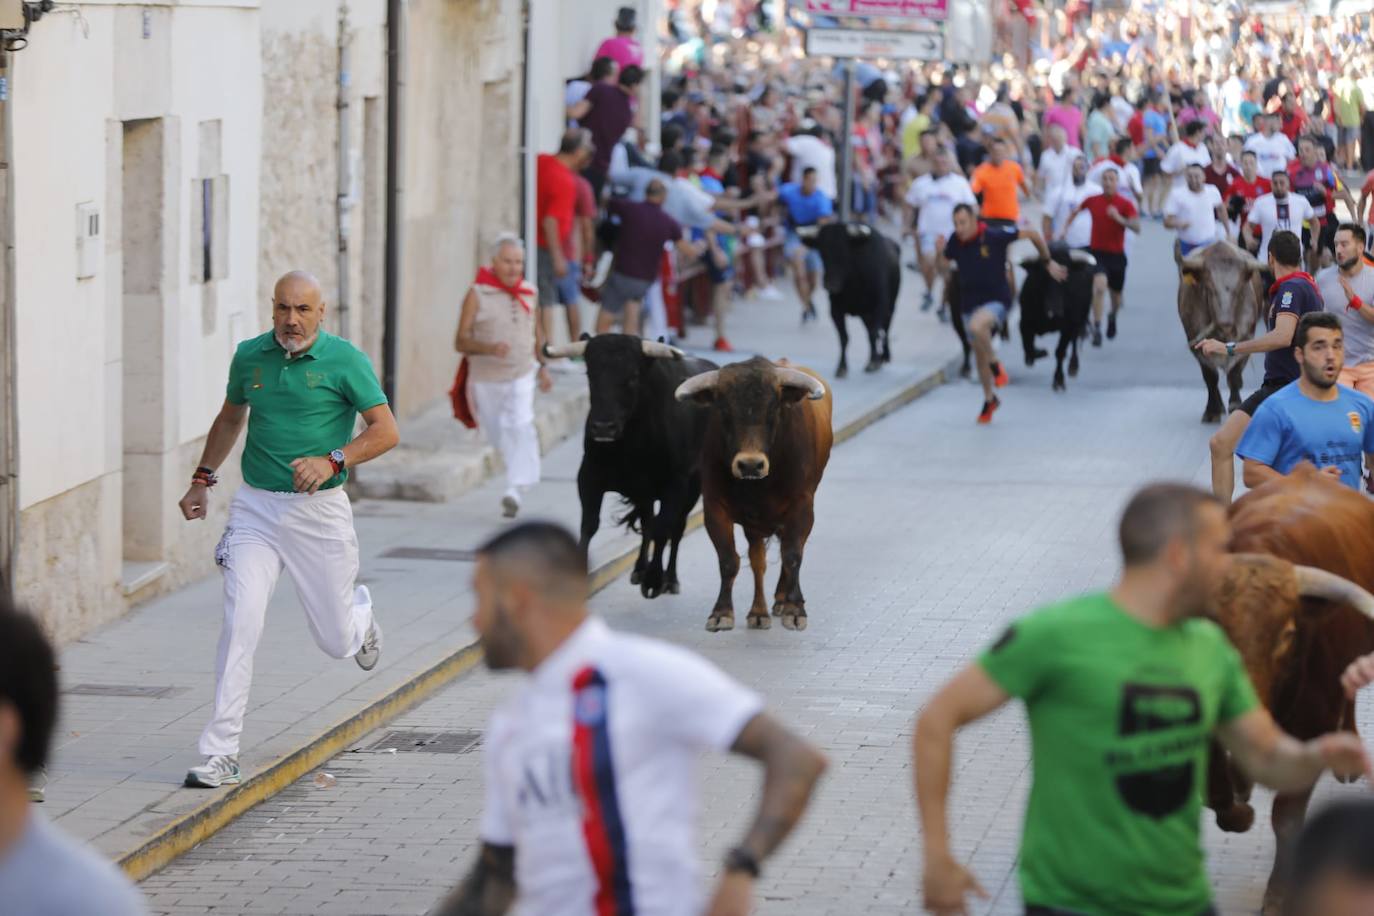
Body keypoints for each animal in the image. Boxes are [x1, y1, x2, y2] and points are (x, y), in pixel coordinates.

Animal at [673, 357, 829, 631]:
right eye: (724, 410)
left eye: (773, 409)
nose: (750, 465)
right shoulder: (714, 508)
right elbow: (729, 560)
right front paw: (721, 612)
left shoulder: (801, 507)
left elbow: (792, 555)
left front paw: (795, 608)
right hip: (754, 526)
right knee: (758, 562)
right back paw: (759, 612)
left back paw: (781, 599)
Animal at [1176, 236, 1258, 422]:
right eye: (1209, 288)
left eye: (1238, 290)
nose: (1225, 323)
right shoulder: (1196, 344)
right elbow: (1210, 378)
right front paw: (1212, 410)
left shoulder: (1246, 338)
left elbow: (1234, 374)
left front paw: (1235, 404)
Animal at [1203, 469, 1374, 911]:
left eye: (1288, 634)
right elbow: (1214, 788)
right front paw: (1239, 806)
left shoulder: (1312, 727)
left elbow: (1287, 817)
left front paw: (1279, 895)